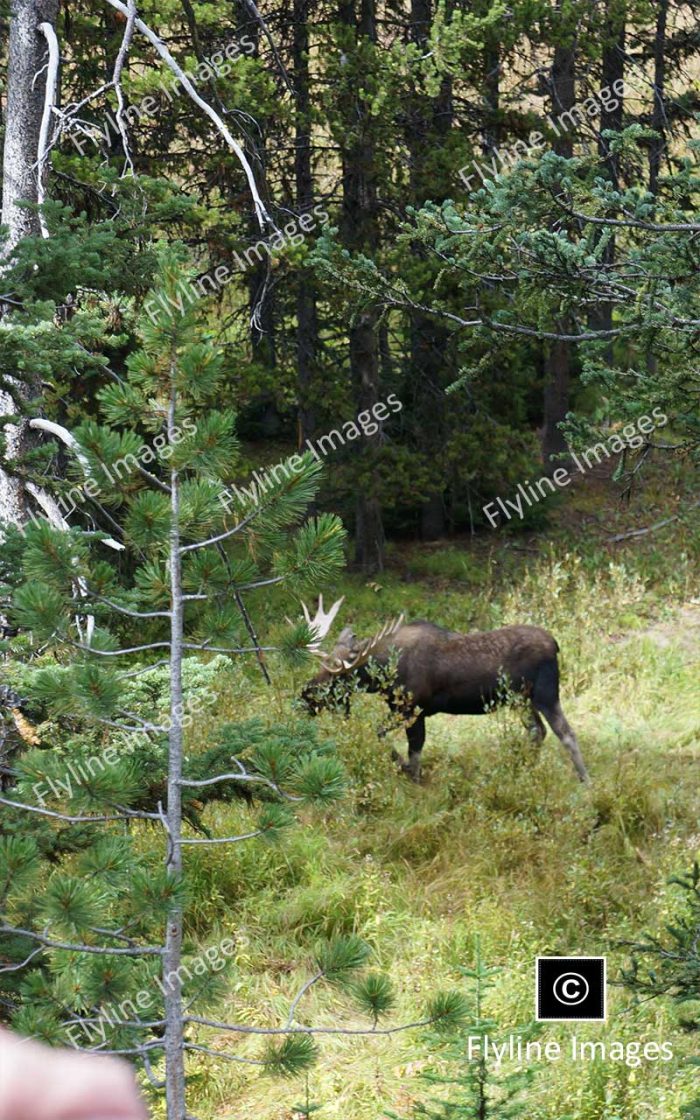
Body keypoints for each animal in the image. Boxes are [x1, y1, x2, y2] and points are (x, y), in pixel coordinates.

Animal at [297, 600, 586, 784]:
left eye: (337, 674)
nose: (304, 696)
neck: (382, 675)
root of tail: (556, 644)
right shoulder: (410, 711)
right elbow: (403, 743)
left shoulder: (411, 708)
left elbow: (400, 743)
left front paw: (408, 773)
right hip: (521, 701)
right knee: (538, 731)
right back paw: (524, 768)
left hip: (545, 694)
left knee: (566, 733)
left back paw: (585, 781)